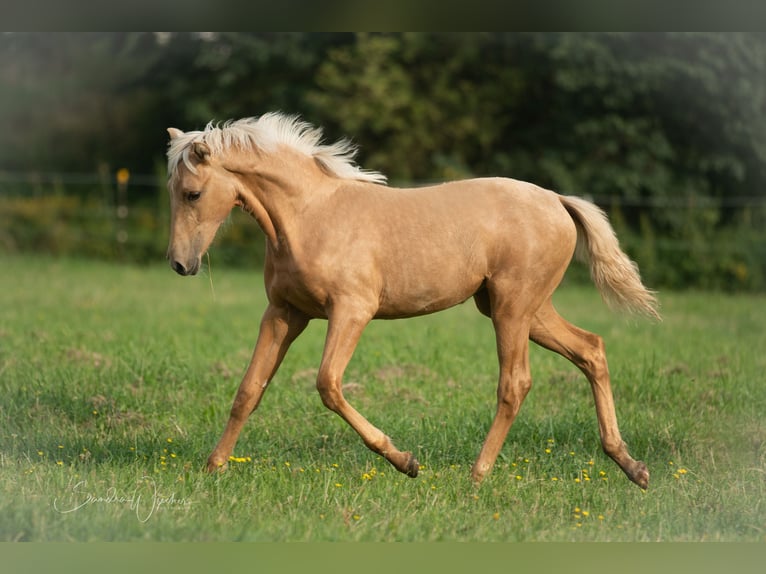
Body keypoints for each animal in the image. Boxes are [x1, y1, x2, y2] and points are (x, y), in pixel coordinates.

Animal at [164, 113, 660, 490]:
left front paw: (405, 461)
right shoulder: (286, 313)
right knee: (591, 349)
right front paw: (212, 468)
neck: (310, 216)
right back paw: (631, 465)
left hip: (512, 309)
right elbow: (249, 390)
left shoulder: (352, 311)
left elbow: (328, 384)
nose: (180, 265)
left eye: (192, 193)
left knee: (515, 383)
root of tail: (558, 200)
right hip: (524, 309)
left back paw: (477, 475)